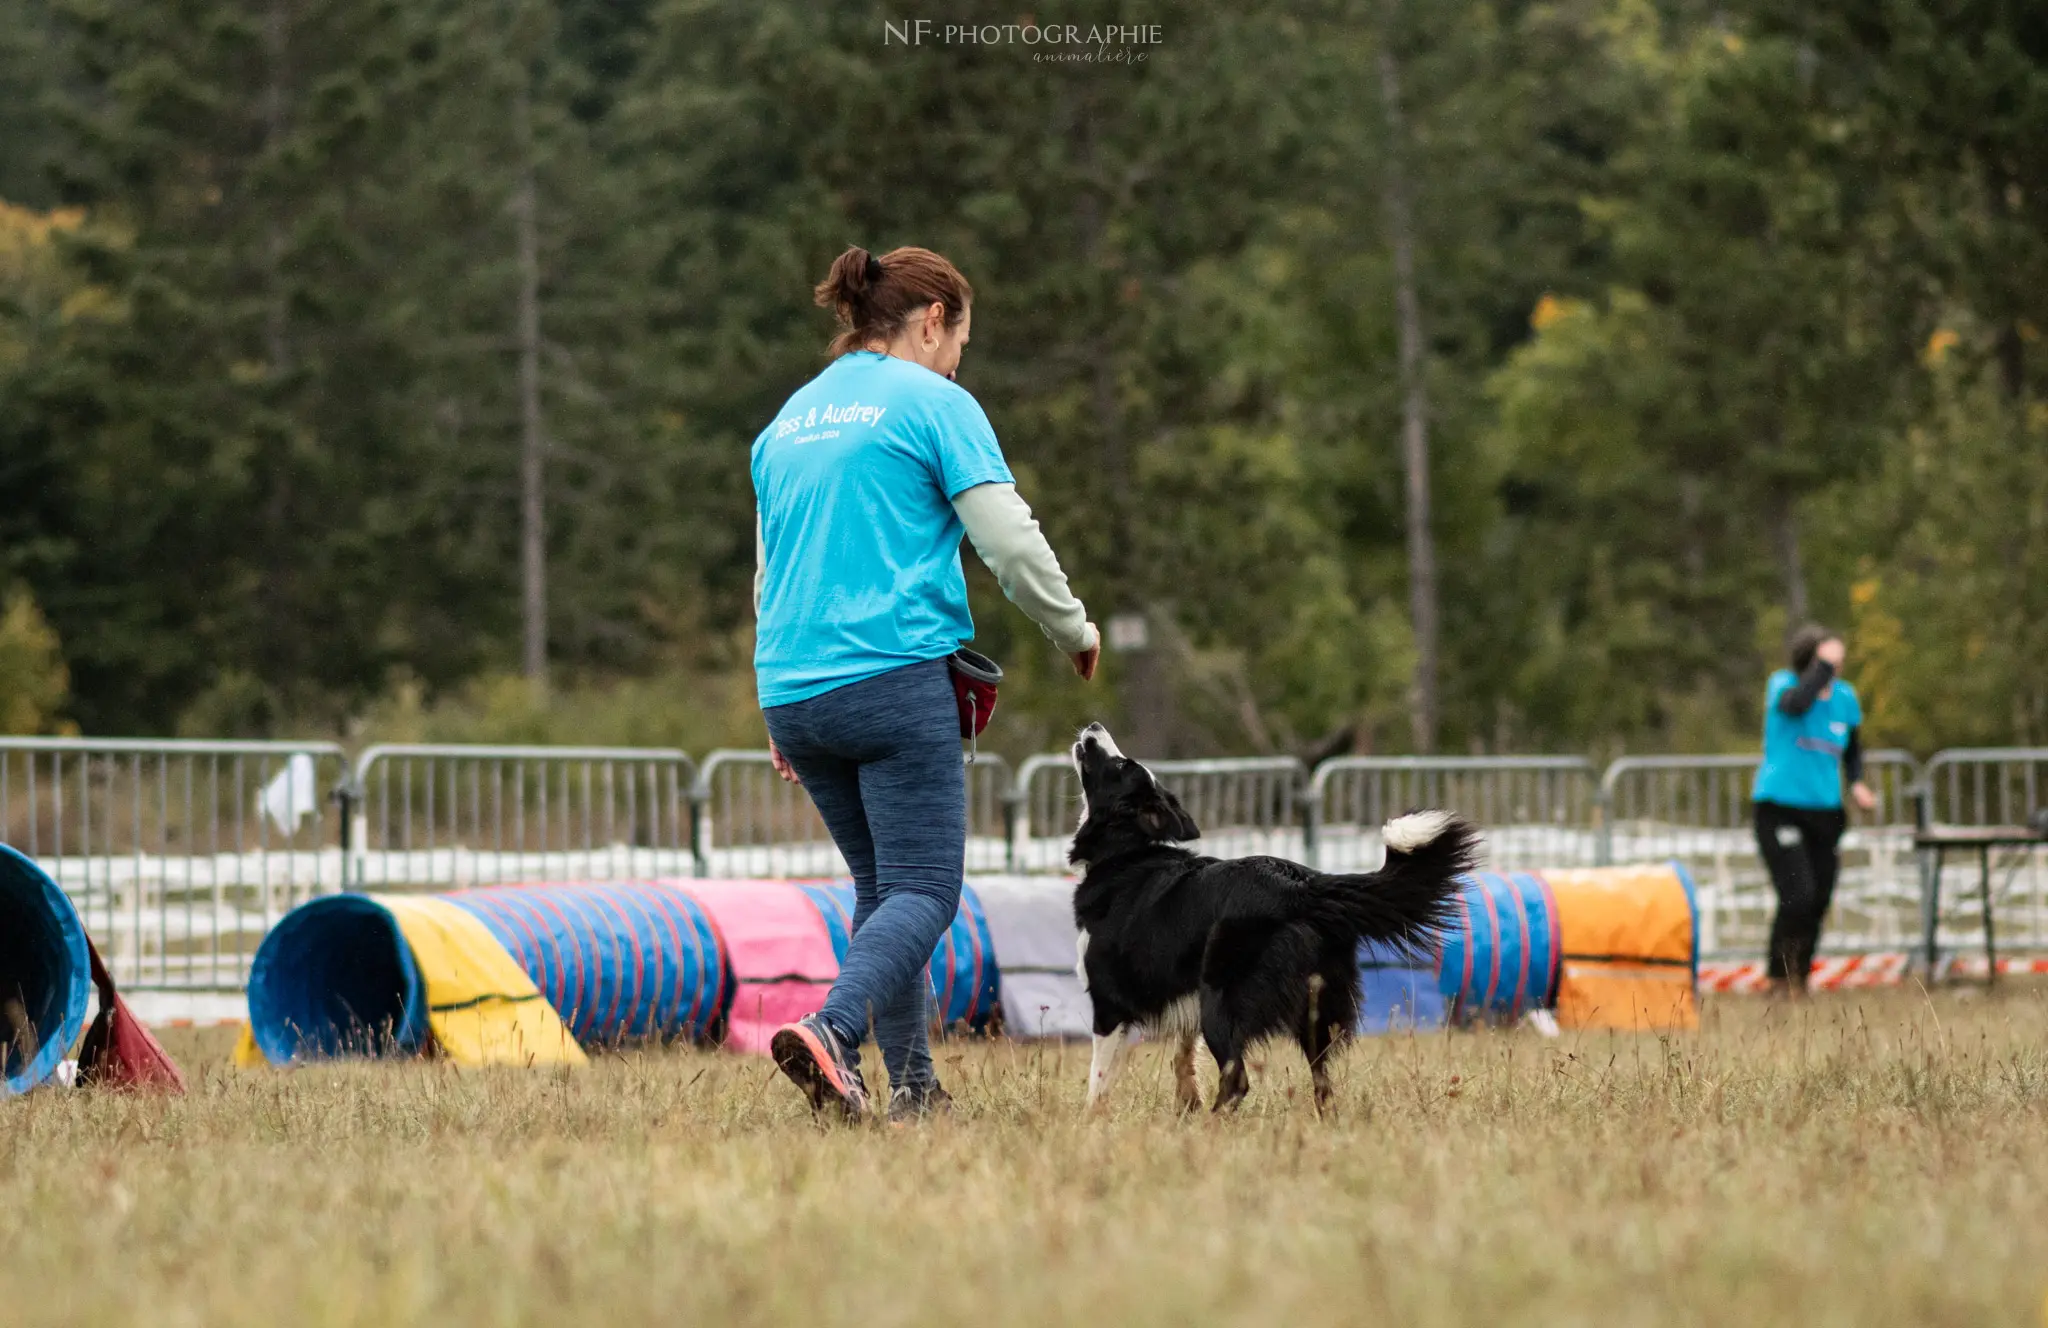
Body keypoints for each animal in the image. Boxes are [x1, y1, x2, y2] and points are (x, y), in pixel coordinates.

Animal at [1064, 721, 1482, 1114]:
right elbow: (1183, 1060)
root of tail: (1303, 885)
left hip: (1221, 1000)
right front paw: (1185, 1107)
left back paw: (1209, 1127)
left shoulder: (1109, 1006)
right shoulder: (1183, 998)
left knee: (1237, 1079)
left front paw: (1091, 1122)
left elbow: (1098, 1081)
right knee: (1323, 1082)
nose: (1094, 727)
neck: (1124, 851)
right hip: (1315, 1011)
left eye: (1121, 764)